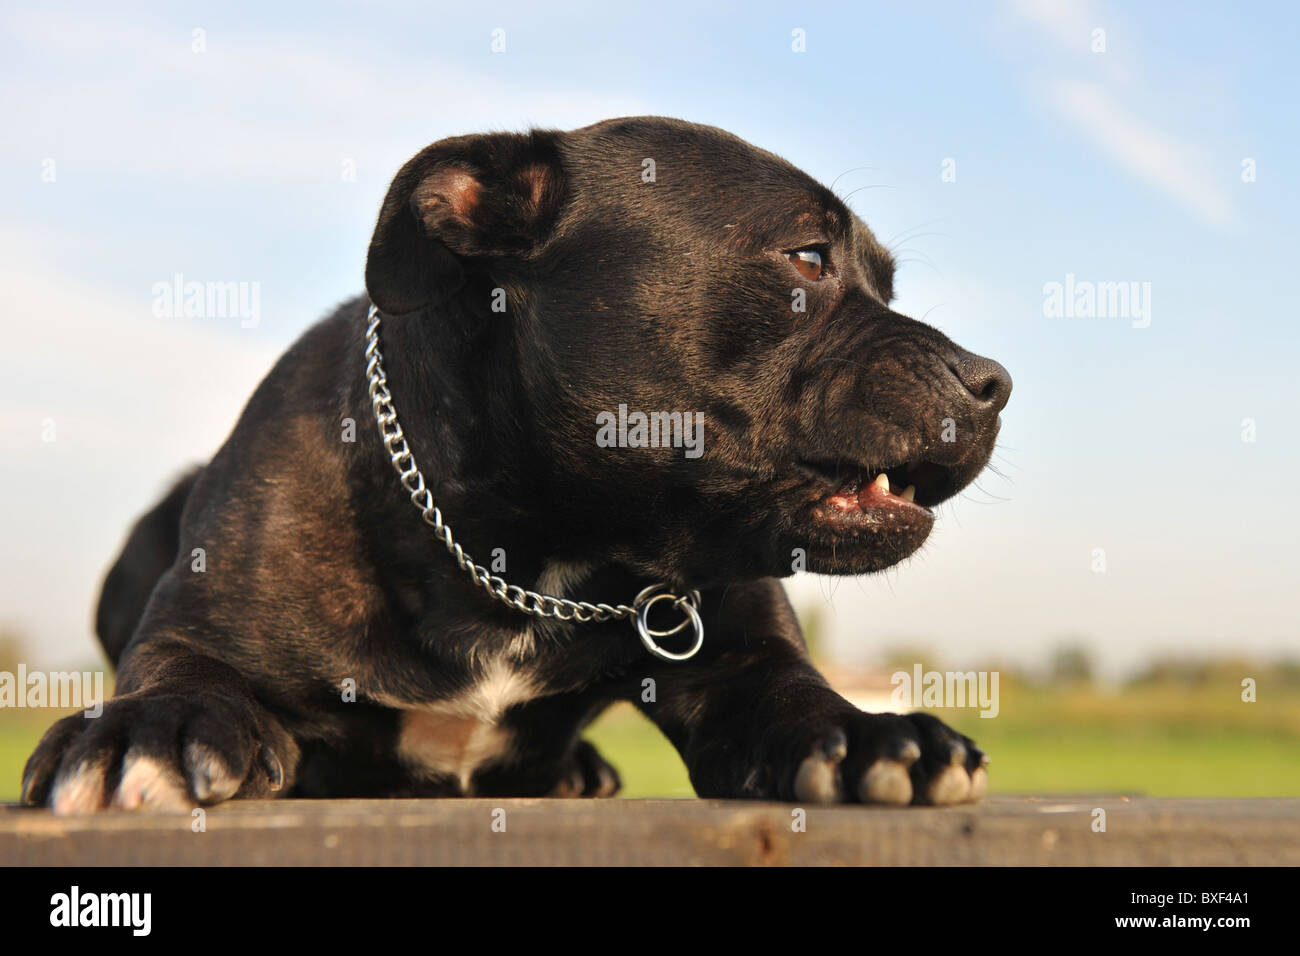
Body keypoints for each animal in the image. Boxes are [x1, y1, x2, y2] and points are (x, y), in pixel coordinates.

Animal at [22, 115, 1013, 811]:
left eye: (888, 285)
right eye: (808, 255)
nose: (992, 380)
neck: (534, 559)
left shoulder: (744, 663)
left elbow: (801, 703)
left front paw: (877, 737)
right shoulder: (197, 631)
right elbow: (183, 678)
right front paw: (145, 732)